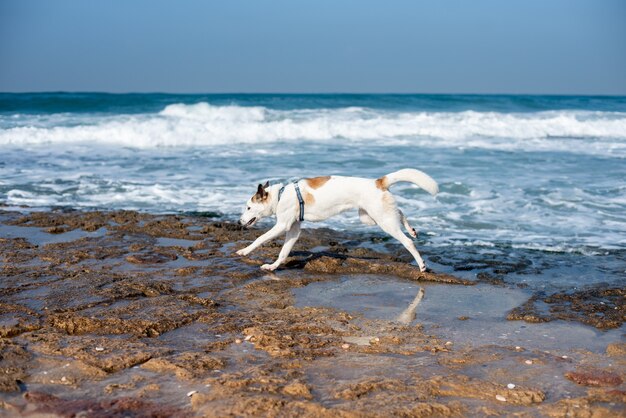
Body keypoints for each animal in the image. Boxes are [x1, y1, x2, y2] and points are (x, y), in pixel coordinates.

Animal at [236, 168, 436, 272]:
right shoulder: (293, 230)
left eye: (248, 207)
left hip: (384, 222)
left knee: (408, 242)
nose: (239, 222)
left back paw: (421, 264)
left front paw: (244, 251)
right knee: (400, 212)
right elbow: (284, 252)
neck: (281, 195)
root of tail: (378, 182)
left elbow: (260, 239)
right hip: (371, 217)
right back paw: (412, 230)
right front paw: (273, 266)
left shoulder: (282, 226)